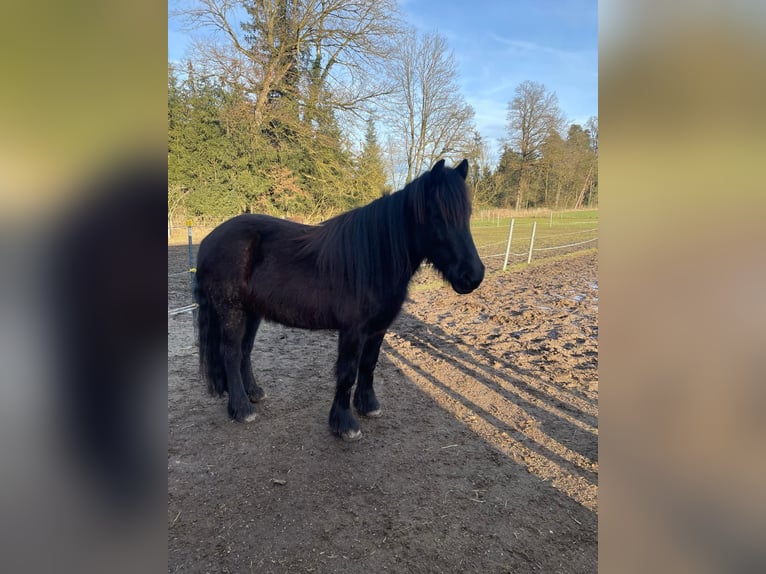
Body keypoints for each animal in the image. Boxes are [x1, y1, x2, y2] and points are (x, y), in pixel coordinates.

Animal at [198, 159, 486, 440]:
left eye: (467, 215)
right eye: (438, 216)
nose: (473, 276)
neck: (373, 259)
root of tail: (209, 239)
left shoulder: (378, 329)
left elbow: (369, 365)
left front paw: (368, 406)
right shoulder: (352, 331)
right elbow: (347, 372)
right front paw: (344, 424)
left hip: (252, 312)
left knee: (245, 350)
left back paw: (254, 393)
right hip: (231, 310)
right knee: (231, 353)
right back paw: (242, 409)